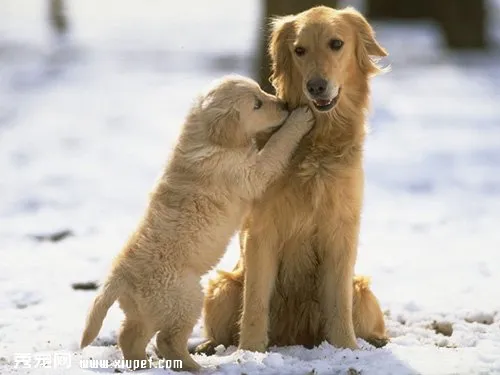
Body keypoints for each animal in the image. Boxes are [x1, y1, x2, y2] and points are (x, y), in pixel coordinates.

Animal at [197, 6, 388, 356]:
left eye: (336, 44)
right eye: (299, 50)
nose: (316, 86)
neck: (317, 143)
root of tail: (295, 338)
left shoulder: (341, 231)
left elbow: (338, 302)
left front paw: (346, 348)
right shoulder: (261, 231)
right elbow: (255, 302)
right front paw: (251, 351)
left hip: (363, 291)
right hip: (223, 287)